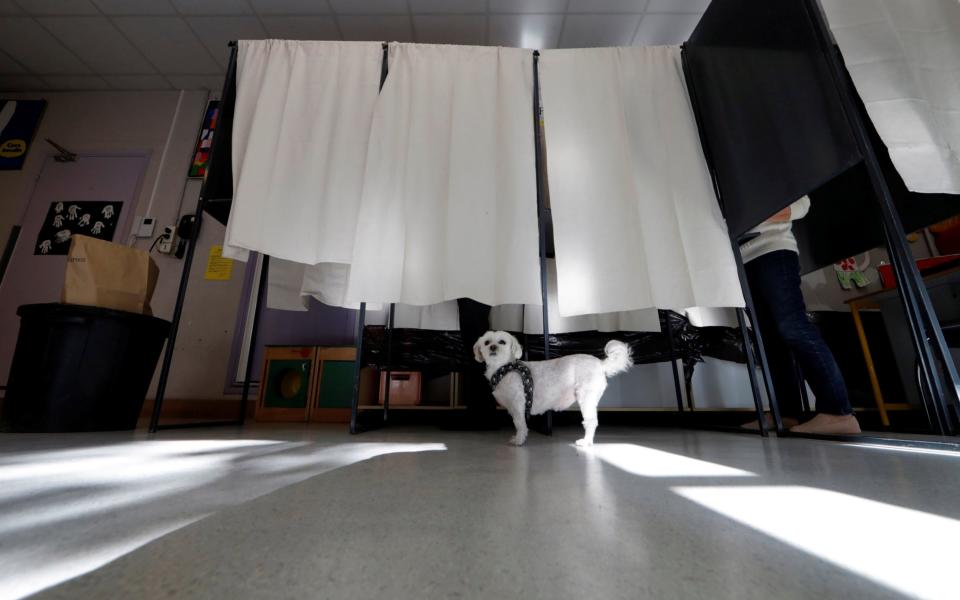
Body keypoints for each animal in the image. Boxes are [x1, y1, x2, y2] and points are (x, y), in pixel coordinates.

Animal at [476, 332, 632, 446]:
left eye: (502, 342)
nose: (493, 347)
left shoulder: (518, 405)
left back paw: (586, 441)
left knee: (591, 422)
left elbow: (520, 424)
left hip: (586, 398)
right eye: (486, 342)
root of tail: (600, 364)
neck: (504, 368)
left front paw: (519, 440)